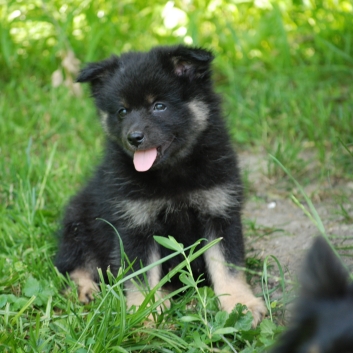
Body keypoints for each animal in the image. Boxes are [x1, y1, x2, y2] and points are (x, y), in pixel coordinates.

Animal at [54, 45, 264, 326]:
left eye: (159, 106)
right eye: (122, 111)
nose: (133, 138)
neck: (171, 173)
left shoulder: (219, 212)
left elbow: (227, 265)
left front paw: (240, 303)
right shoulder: (135, 225)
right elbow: (142, 276)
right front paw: (145, 312)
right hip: (79, 224)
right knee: (74, 265)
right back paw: (85, 290)